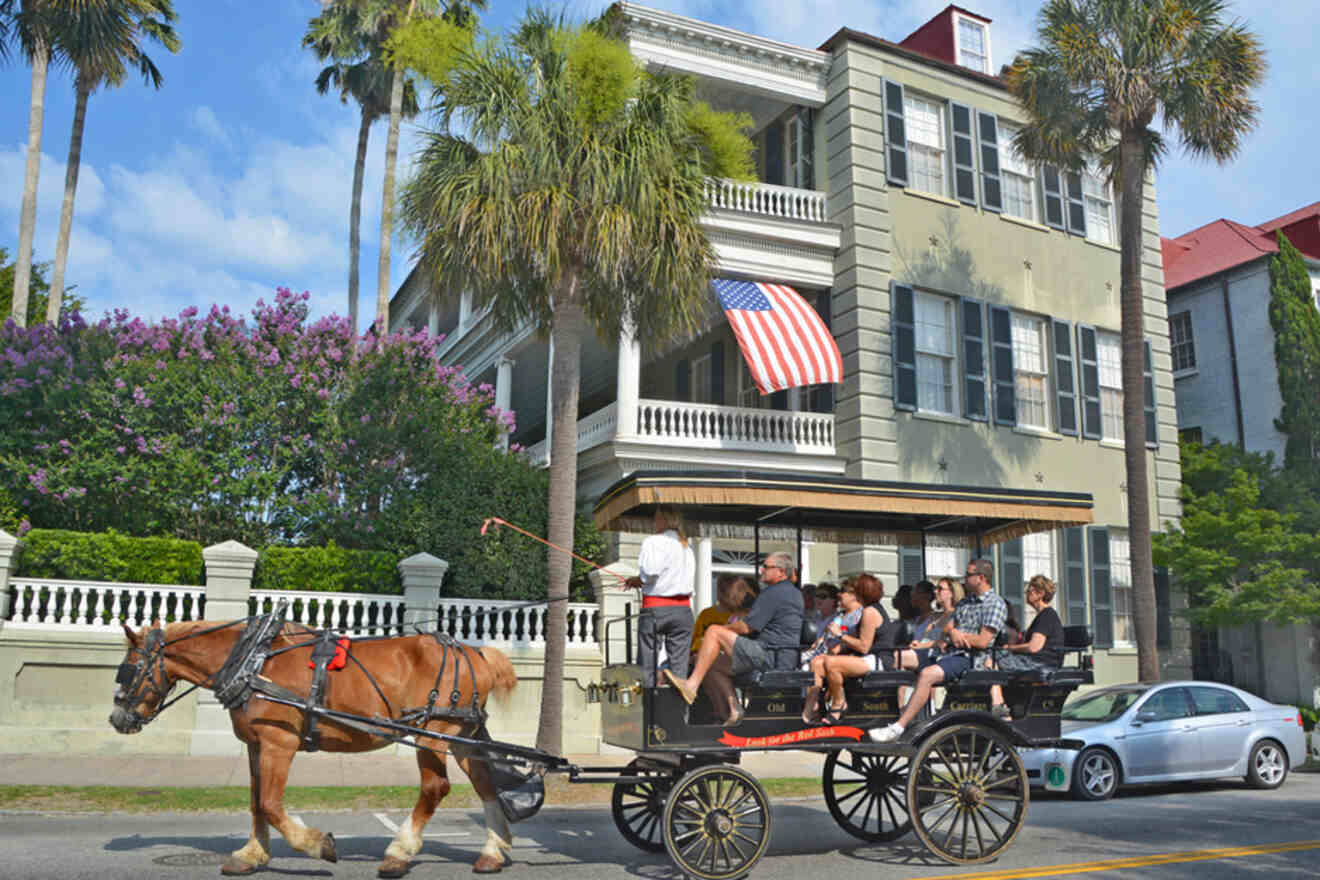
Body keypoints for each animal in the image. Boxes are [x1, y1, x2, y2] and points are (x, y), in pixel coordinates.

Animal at [109, 622, 520, 876]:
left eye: (127, 670)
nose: (116, 718)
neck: (254, 663)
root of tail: (475, 652)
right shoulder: (257, 745)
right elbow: (256, 802)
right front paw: (250, 855)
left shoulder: (278, 744)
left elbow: (270, 804)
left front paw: (317, 844)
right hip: (461, 735)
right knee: (485, 784)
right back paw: (492, 851)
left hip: (433, 733)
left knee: (435, 788)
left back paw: (399, 852)